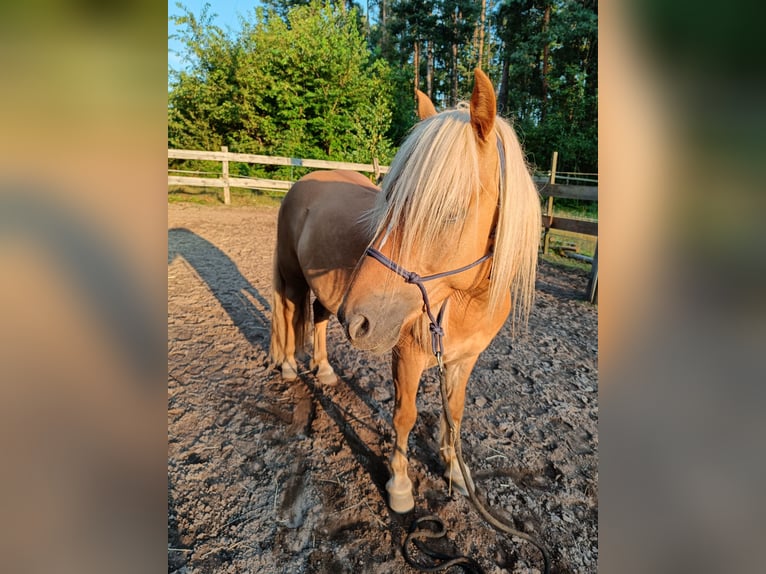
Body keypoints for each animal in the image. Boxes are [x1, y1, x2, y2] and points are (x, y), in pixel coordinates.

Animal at [270, 69, 540, 514]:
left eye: (449, 212)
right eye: (389, 200)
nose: (358, 320)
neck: (465, 302)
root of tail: (304, 181)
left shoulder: (464, 359)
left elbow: (455, 414)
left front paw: (454, 471)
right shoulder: (407, 356)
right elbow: (405, 416)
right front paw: (399, 485)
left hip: (326, 292)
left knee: (320, 319)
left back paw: (324, 370)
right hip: (294, 276)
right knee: (291, 313)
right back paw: (291, 366)